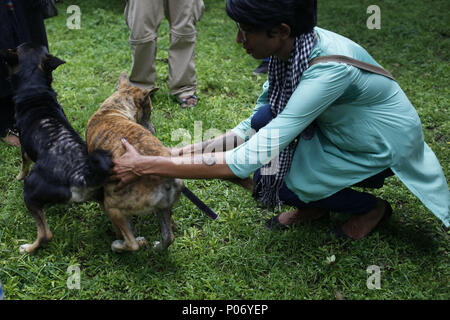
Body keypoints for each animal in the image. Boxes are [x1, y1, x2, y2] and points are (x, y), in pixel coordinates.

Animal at [0, 43, 112, 252]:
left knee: (45, 235)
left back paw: (28, 248)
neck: (35, 90)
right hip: (104, 197)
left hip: (30, 192)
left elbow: (23, 163)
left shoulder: (24, 147)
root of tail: (80, 174)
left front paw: (18, 176)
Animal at [86, 72, 185, 252]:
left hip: (113, 205)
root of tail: (165, 178)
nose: (153, 130)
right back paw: (158, 247)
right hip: (162, 207)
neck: (112, 110)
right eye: (150, 111)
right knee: (169, 236)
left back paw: (121, 245)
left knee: (131, 243)